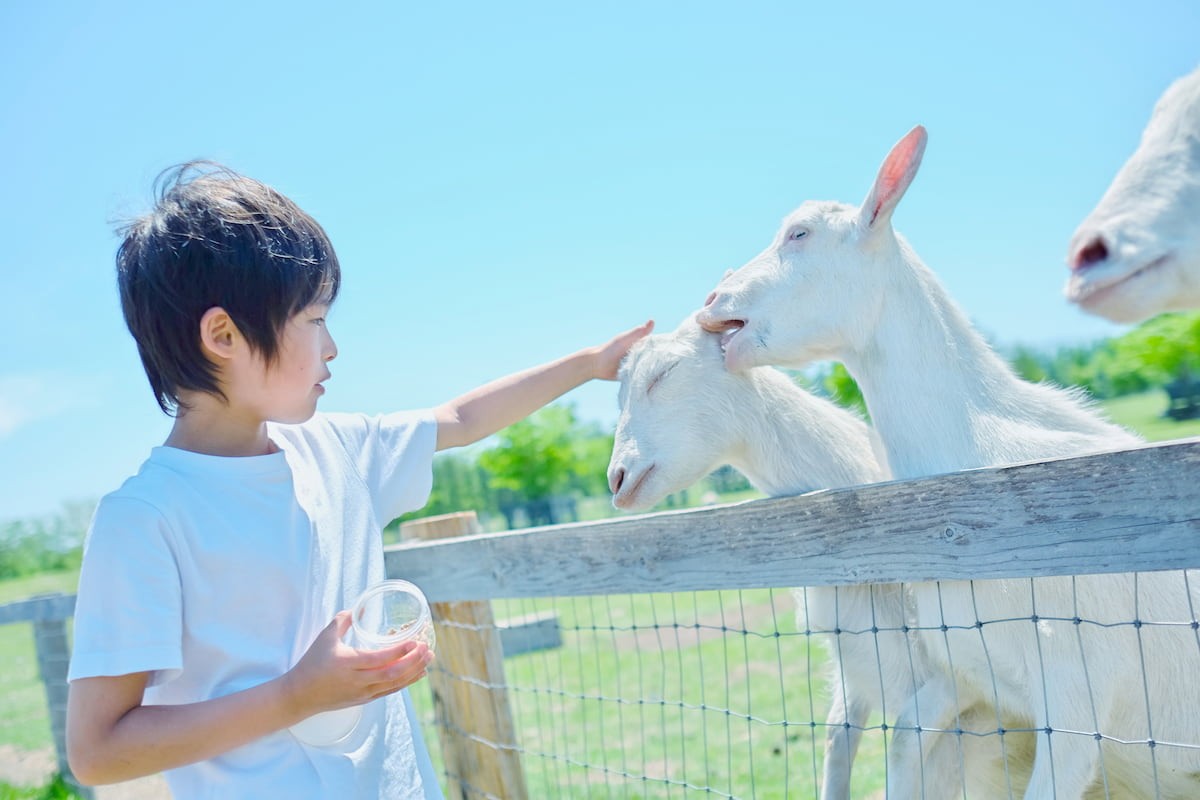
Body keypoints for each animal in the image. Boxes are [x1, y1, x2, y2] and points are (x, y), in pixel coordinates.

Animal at [609, 314, 1032, 800]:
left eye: (665, 372)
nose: (616, 479)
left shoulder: (971, 684)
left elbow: (902, 747)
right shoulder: (860, 671)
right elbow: (836, 740)